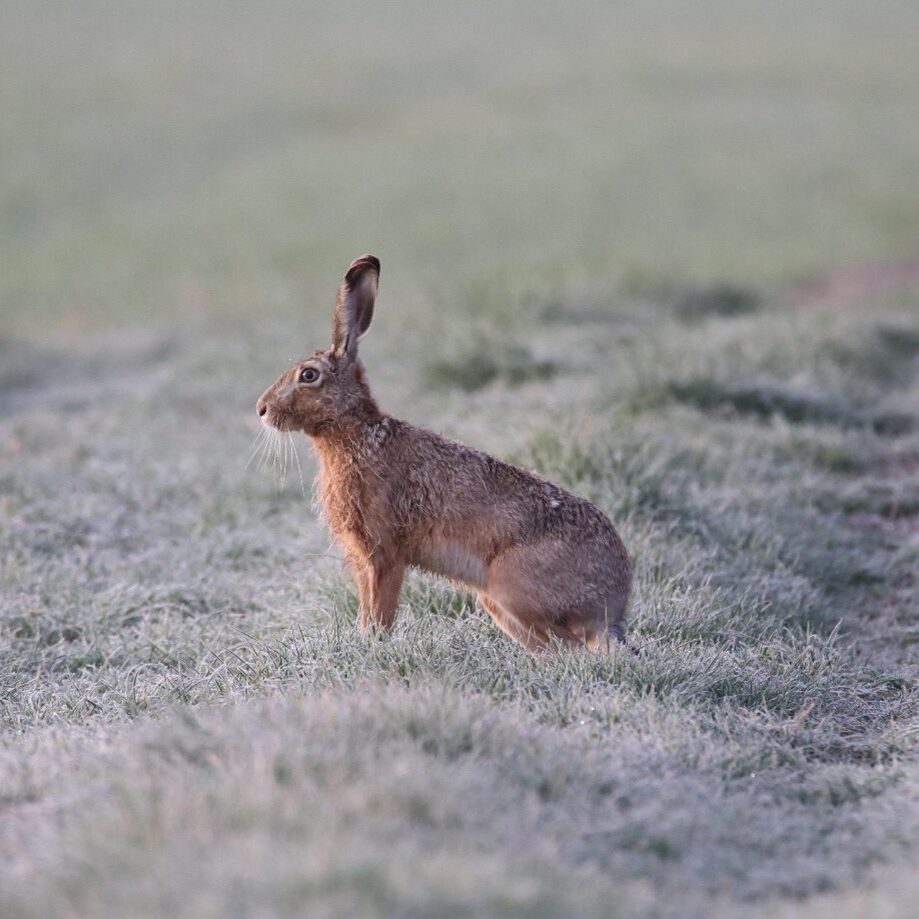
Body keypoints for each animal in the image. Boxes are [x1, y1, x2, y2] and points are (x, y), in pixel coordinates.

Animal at [256, 254, 632, 652]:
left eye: (308, 375)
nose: (261, 409)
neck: (354, 434)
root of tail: (613, 608)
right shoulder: (364, 558)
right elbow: (366, 610)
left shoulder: (384, 552)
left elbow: (380, 611)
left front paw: (374, 645)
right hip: (496, 602)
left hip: (512, 588)